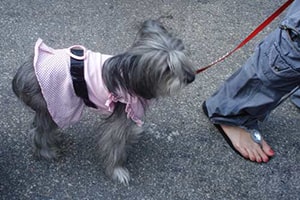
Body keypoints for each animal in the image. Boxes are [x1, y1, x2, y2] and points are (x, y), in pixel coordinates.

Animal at [11, 19, 196, 185]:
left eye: (184, 57)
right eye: (167, 68)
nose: (191, 78)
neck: (132, 77)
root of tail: (22, 73)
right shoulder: (121, 116)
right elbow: (114, 143)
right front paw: (117, 171)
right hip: (53, 104)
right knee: (39, 130)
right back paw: (46, 151)